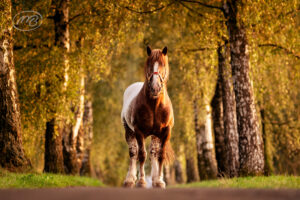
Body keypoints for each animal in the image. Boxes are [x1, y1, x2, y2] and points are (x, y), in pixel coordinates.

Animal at [120, 46, 175, 188]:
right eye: (149, 64)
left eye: (163, 65)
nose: (155, 87)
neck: (154, 105)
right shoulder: (139, 132)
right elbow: (141, 155)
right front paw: (141, 181)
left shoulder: (166, 132)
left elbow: (160, 155)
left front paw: (159, 181)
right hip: (129, 132)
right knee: (133, 153)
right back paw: (130, 180)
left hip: (155, 135)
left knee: (153, 153)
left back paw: (155, 179)